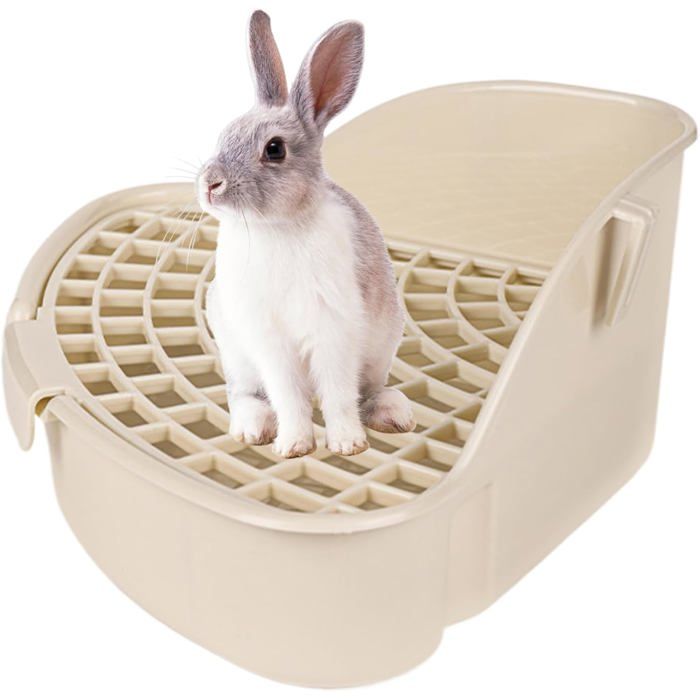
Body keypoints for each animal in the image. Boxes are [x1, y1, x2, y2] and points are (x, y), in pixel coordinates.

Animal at [197, 10, 415, 459]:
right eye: (224, 134)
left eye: (275, 149)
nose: (210, 184)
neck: (276, 228)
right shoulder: (270, 341)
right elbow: (288, 396)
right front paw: (294, 445)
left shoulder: (334, 330)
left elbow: (337, 394)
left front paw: (348, 444)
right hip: (237, 353)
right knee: (243, 394)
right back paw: (253, 428)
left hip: (380, 349)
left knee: (368, 391)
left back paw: (393, 414)